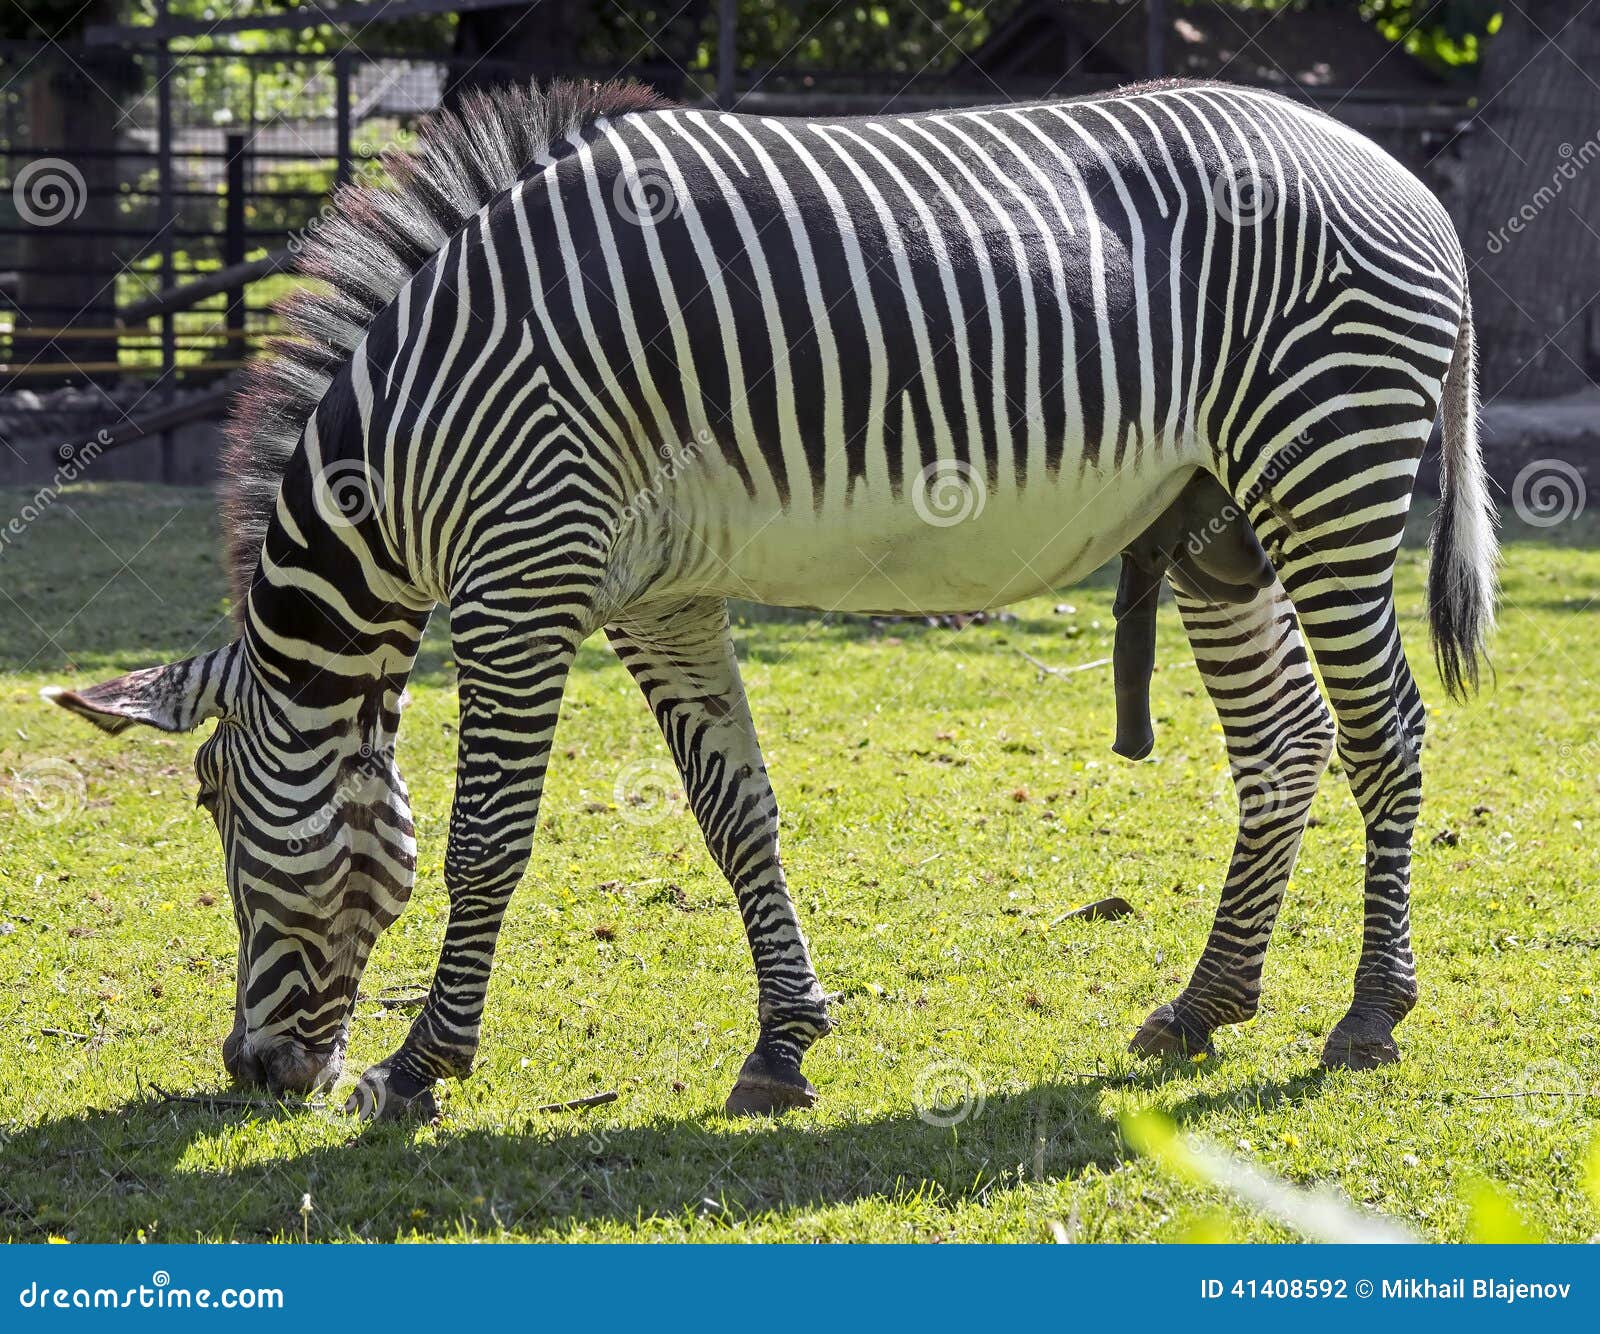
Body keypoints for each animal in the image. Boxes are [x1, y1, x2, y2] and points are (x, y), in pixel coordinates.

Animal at [46, 77, 1496, 1120]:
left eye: (212, 802)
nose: (248, 1071)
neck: (416, 438)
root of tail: (1400, 174)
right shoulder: (653, 596)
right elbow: (734, 811)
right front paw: (783, 1046)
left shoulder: (523, 582)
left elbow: (484, 842)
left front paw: (418, 1071)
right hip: (1221, 520)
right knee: (1286, 741)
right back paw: (1205, 1003)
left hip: (1324, 465)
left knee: (1384, 732)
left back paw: (1368, 1014)